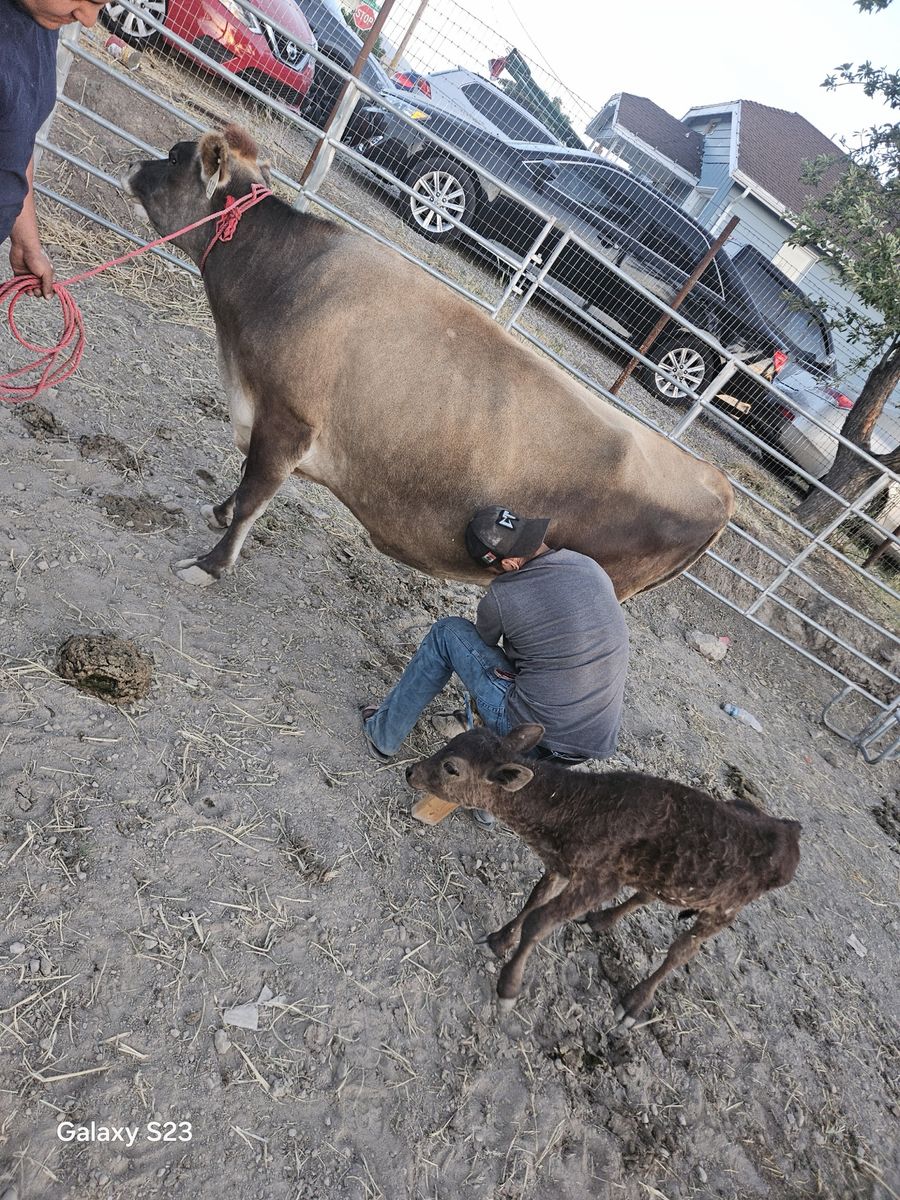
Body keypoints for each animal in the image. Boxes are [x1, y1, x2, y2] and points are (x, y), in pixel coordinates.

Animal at [124, 126, 733, 598]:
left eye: (175, 157)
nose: (133, 164)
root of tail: (713, 478)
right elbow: (243, 483)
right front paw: (219, 512)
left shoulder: (289, 421)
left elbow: (255, 494)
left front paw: (209, 565)